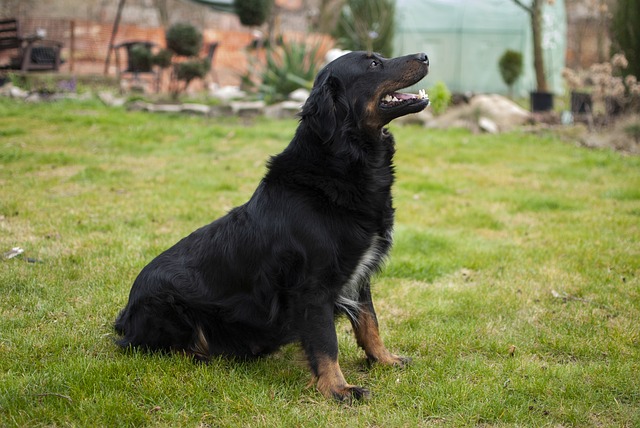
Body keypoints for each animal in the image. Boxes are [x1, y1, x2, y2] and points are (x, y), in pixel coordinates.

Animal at [116, 51, 430, 402]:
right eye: (373, 64)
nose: (424, 56)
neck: (341, 162)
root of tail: (125, 316)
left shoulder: (358, 273)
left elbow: (369, 321)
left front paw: (384, 360)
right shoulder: (313, 287)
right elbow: (326, 342)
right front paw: (338, 388)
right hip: (168, 306)